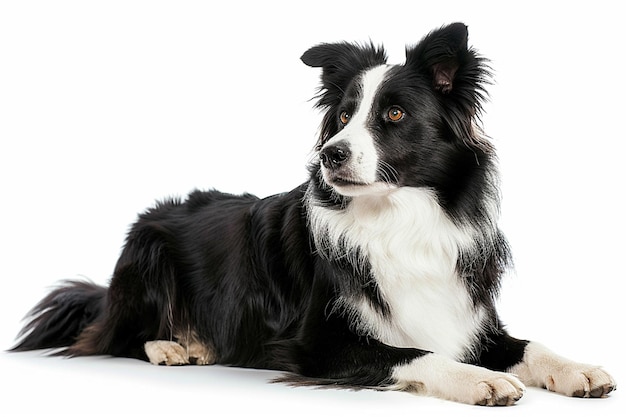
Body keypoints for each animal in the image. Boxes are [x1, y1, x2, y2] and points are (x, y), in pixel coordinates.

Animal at [11, 22, 616, 404]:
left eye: (395, 114)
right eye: (343, 116)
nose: (331, 154)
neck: (397, 218)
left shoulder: (469, 316)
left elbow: (530, 345)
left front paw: (580, 369)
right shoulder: (315, 344)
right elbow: (414, 352)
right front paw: (477, 380)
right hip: (147, 249)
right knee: (115, 335)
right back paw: (173, 345)